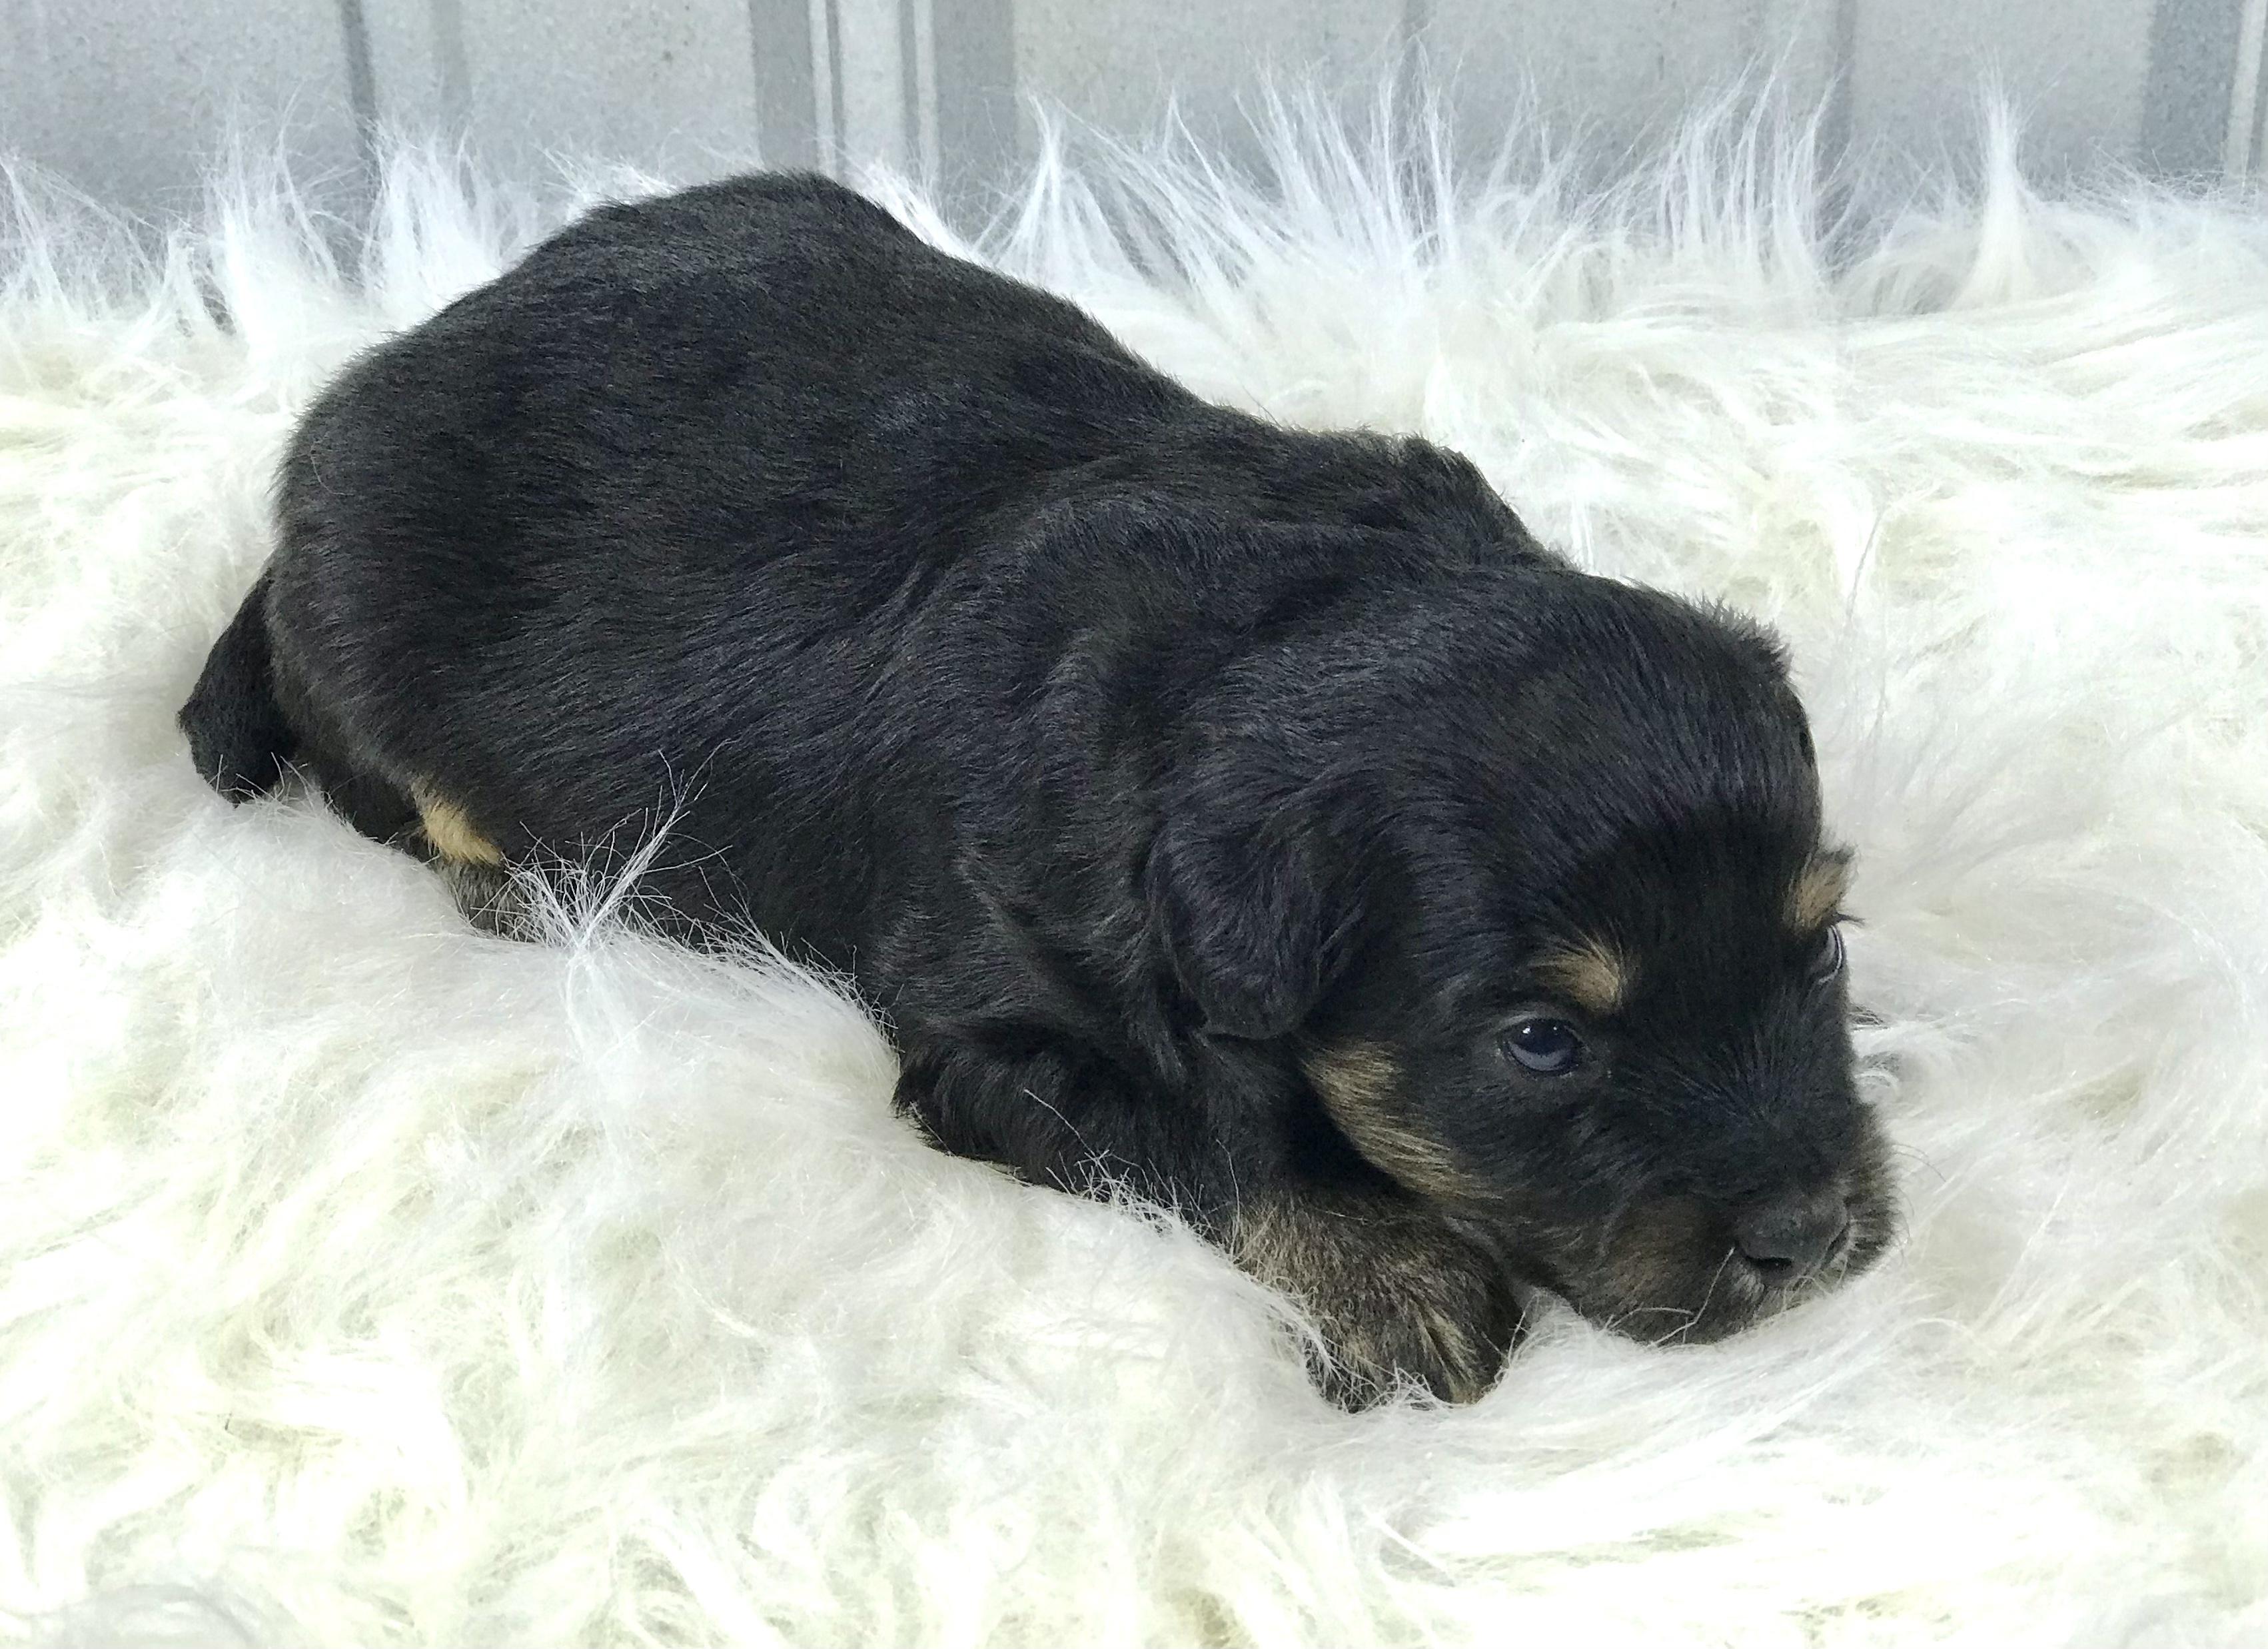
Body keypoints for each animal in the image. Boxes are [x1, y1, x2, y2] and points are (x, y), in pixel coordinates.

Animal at [179, 172, 1895, 1406]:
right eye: (1540, 1041)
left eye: (1818, 948)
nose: (1812, 1236)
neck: (1291, 626)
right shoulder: (987, 1025)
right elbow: (1203, 1124)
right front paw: (1390, 1278)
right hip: (373, 634)